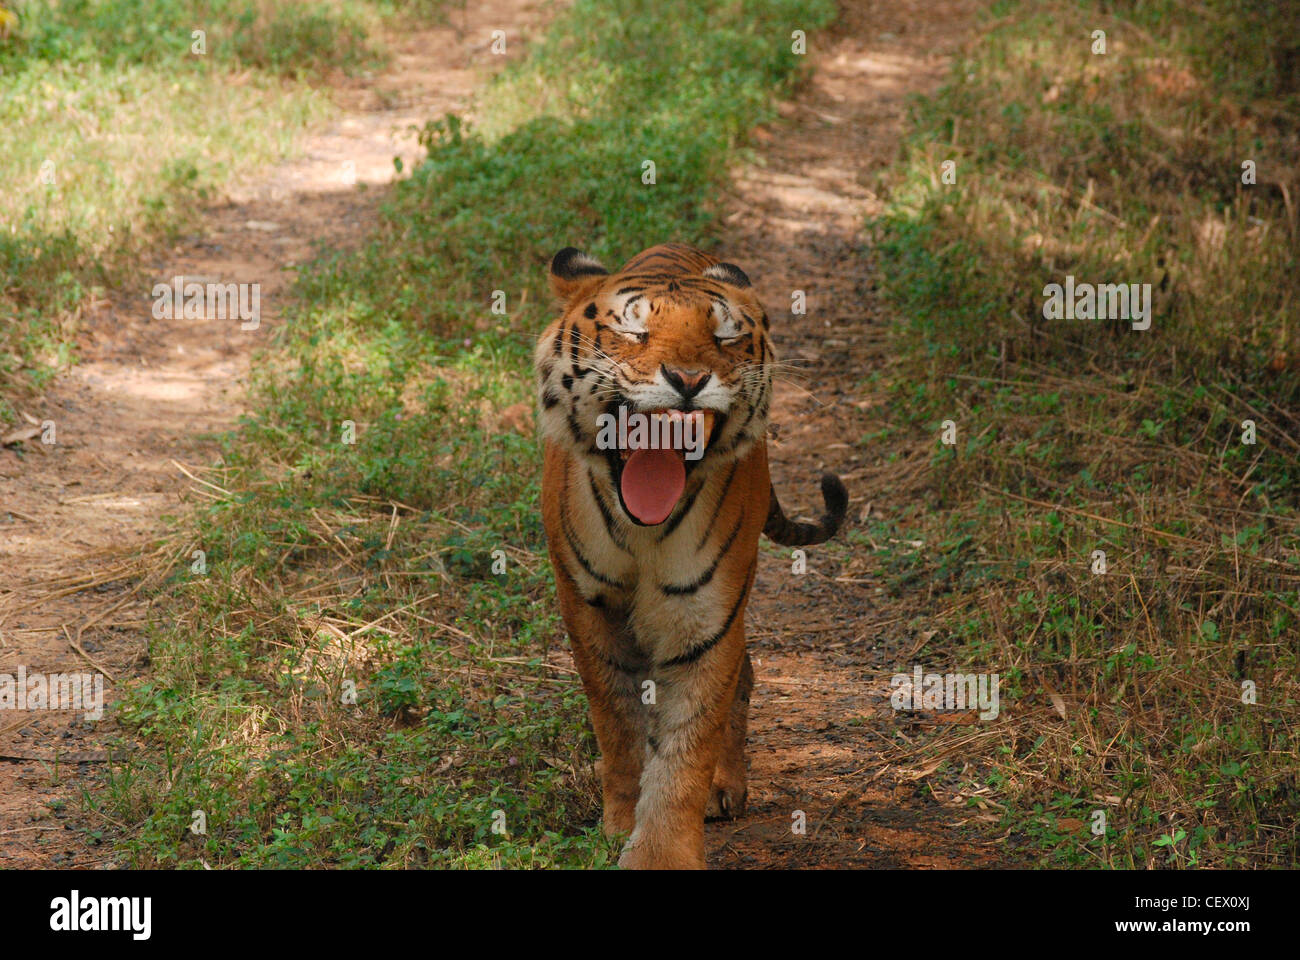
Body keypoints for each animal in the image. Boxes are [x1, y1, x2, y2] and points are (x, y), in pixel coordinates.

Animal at [533, 240, 847, 868]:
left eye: (724, 337)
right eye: (633, 332)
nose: (687, 379)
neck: (642, 530)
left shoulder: (705, 618)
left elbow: (687, 743)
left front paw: (662, 851)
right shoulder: (588, 609)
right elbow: (618, 723)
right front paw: (619, 824)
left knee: (743, 676)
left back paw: (726, 786)